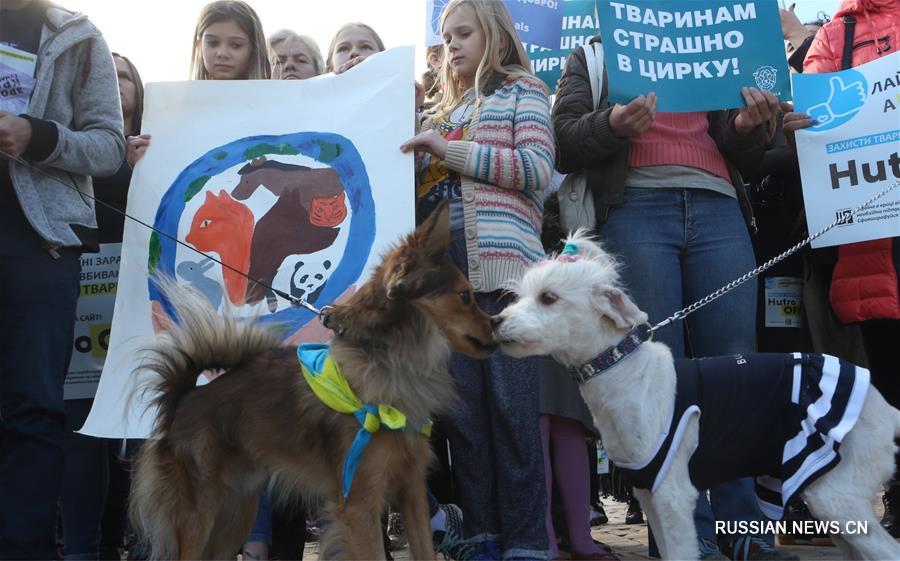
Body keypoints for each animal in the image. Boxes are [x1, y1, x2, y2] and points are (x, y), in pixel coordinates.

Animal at [130, 203, 492, 556]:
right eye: (465, 296)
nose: (497, 325)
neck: (388, 360)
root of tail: (183, 398)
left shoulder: (411, 491)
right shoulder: (359, 504)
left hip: (236, 513)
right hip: (198, 516)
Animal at [492, 229, 900, 560]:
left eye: (548, 297)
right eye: (520, 296)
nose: (495, 321)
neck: (624, 370)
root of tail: (883, 406)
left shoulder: (673, 495)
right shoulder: (650, 493)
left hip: (837, 495)